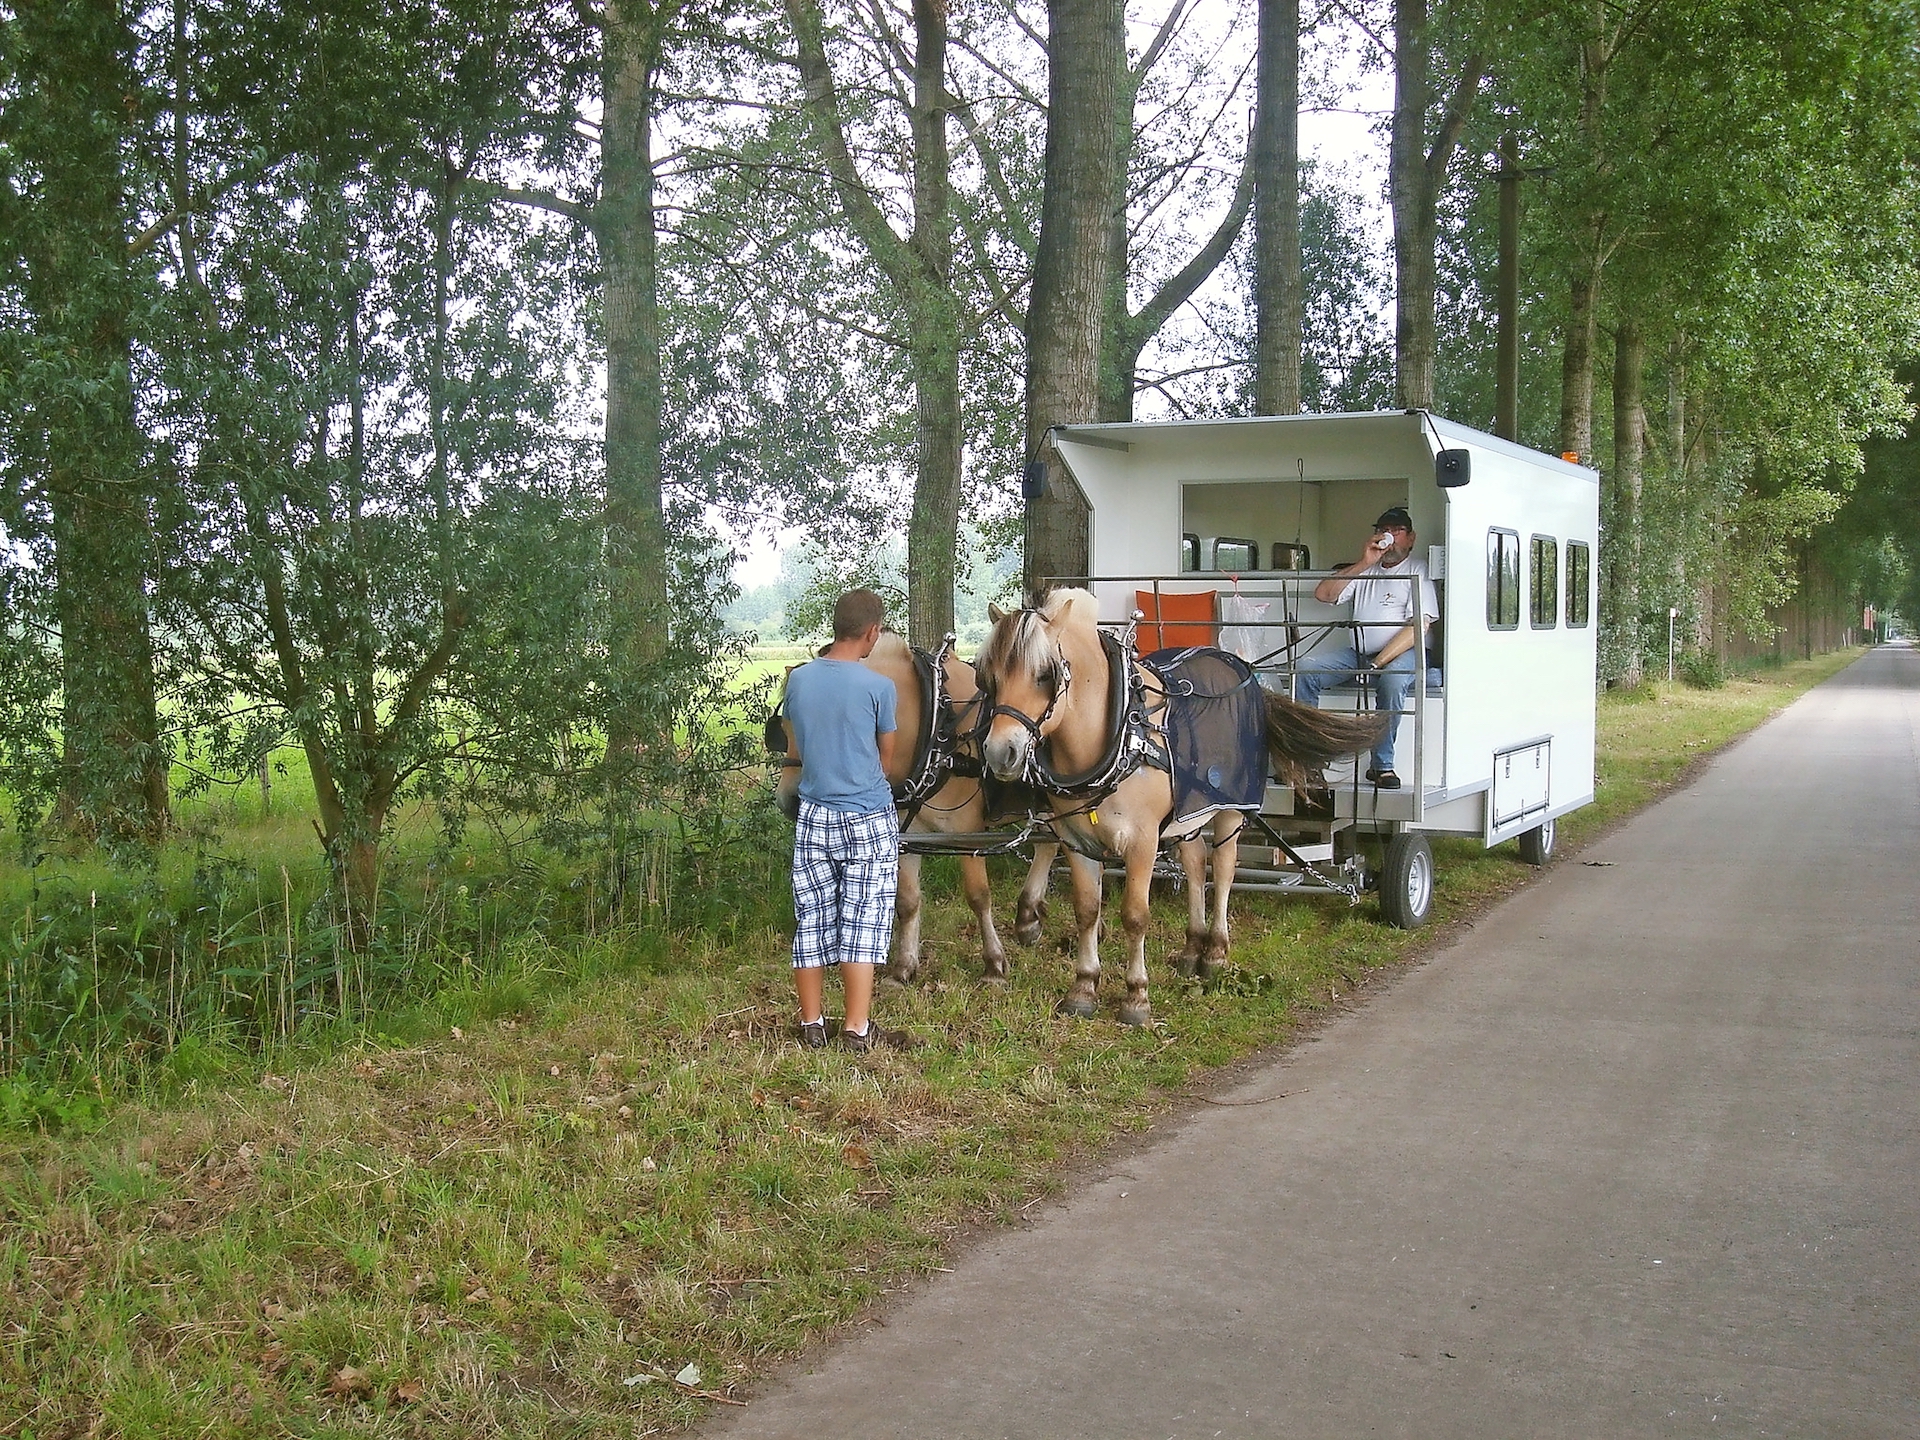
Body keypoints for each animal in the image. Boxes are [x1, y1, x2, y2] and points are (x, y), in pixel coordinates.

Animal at [975, 591, 1382, 1029]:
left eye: (1045, 674)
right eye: (989, 678)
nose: (1000, 753)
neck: (1121, 733)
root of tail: (1244, 671)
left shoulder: (1142, 841)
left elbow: (1135, 914)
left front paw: (1136, 997)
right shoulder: (1077, 841)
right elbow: (1086, 910)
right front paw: (1083, 988)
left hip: (1230, 808)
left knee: (1223, 868)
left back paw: (1215, 951)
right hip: (1189, 812)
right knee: (1194, 863)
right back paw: (1192, 948)